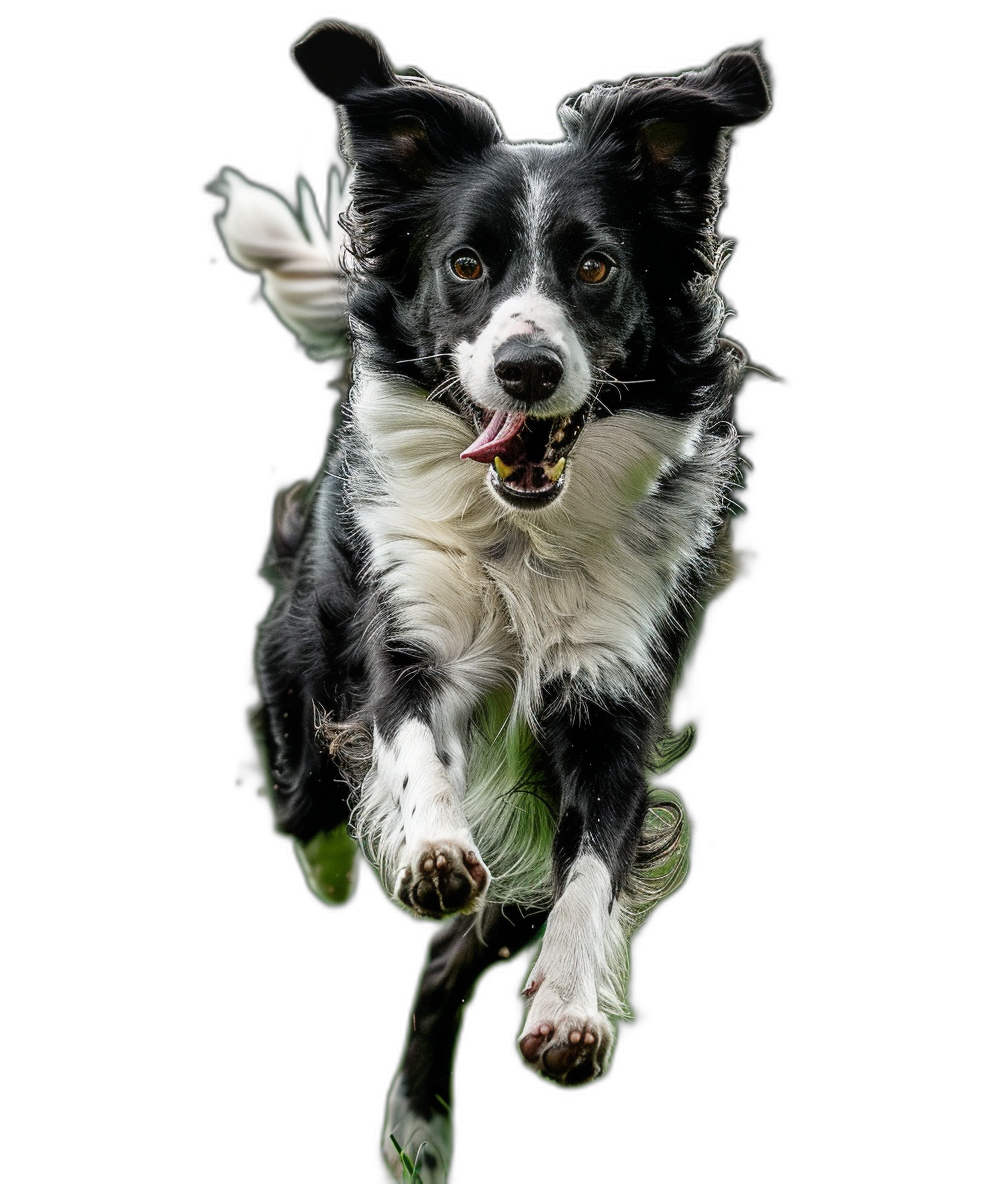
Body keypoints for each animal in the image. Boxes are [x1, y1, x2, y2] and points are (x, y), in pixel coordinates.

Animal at [216, 20, 767, 1184]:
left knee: (450, 961)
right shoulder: (405, 634)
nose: (526, 367)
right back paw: (341, 861)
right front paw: (424, 848)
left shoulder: (612, 703)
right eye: (465, 266)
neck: (524, 536)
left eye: (597, 266)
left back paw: (420, 1123)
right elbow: (410, 742)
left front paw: (570, 1014)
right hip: (304, 668)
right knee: (306, 792)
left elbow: (593, 870)